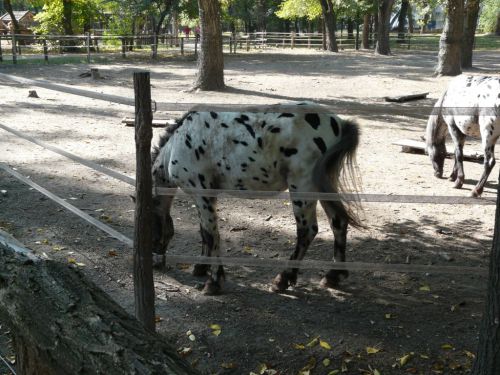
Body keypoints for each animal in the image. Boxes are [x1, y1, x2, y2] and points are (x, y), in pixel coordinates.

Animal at [150, 102, 362, 294]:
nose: (155, 263)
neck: (177, 144)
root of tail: (339, 123)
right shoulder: (206, 197)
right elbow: (204, 232)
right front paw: (201, 267)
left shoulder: (202, 194)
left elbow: (211, 234)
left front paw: (214, 281)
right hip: (323, 186)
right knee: (338, 222)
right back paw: (333, 276)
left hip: (302, 188)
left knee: (307, 231)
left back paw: (283, 279)